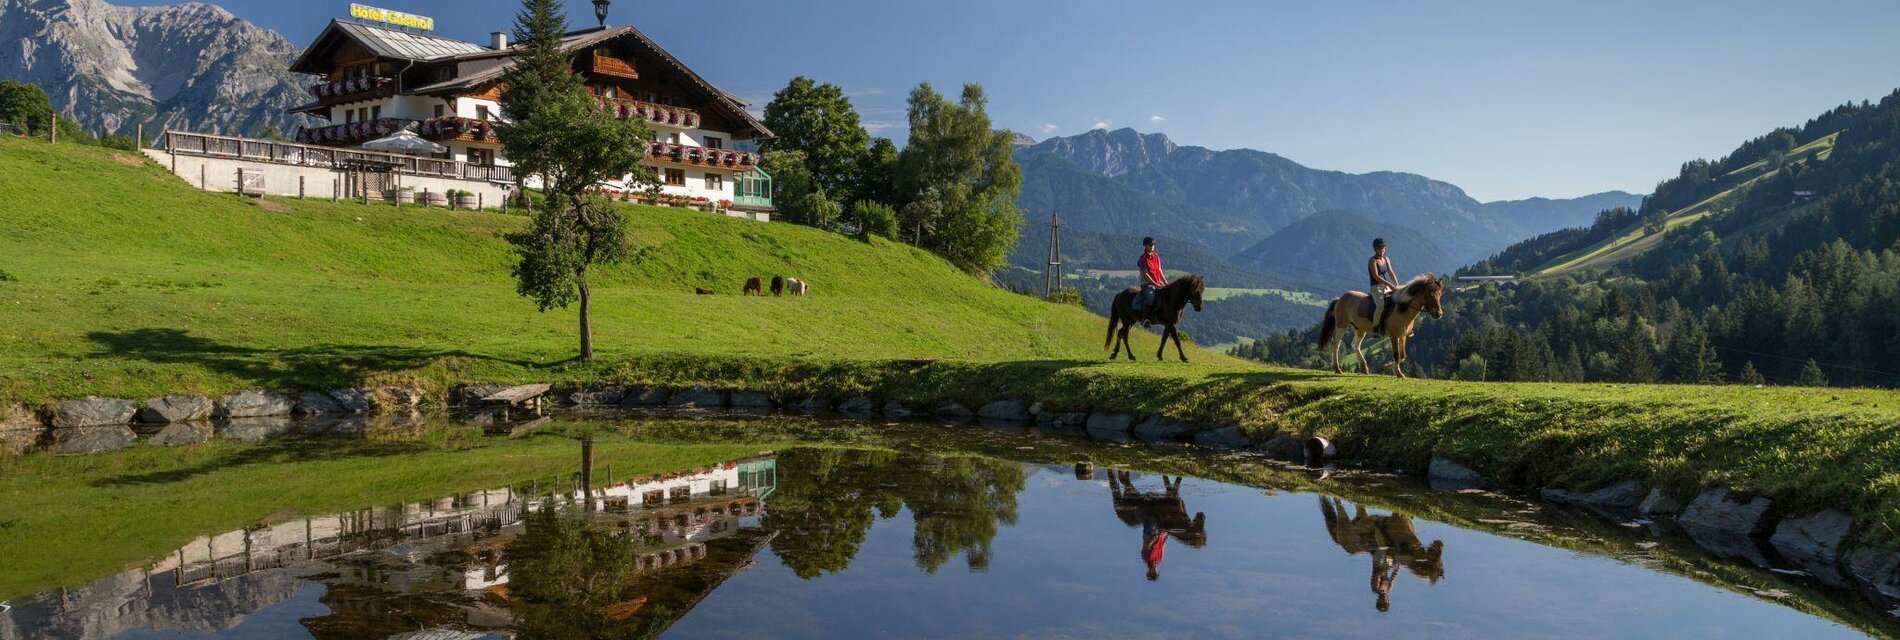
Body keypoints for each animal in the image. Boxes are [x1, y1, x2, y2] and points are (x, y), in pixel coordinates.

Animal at [1314, 273, 1444, 374]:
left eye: (1439, 294)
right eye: (1429, 294)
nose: (1438, 314)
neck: (1402, 308)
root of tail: (1340, 298)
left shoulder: (1403, 336)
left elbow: (1402, 356)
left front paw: (1388, 366)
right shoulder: (1394, 336)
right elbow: (1396, 354)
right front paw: (1398, 373)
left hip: (1360, 329)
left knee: (1355, 345)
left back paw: (1364, 368)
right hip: (1342, 325)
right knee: (1336, 344)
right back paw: (1337, 368)